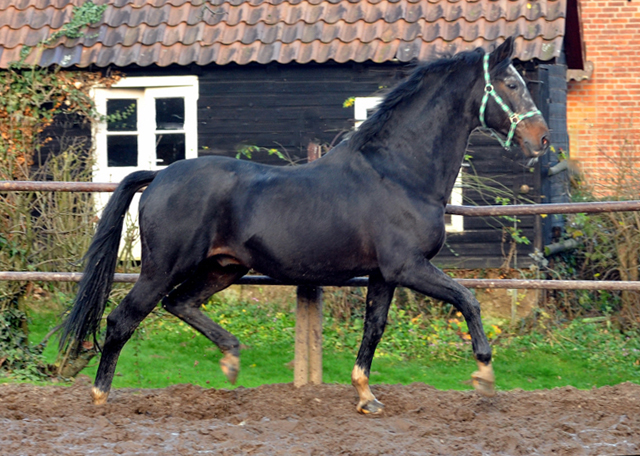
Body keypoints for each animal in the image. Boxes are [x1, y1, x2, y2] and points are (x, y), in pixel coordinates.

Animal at [61, 35, 552, 414]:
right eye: (511, 83)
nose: (542, 140)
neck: (398, 173)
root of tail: (158, 176)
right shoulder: (408, 267)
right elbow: (468, 299)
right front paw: (484, 374)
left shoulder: (383, 275)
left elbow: (375, 328)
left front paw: (366, 396)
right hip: (163, 267)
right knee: (123, 318)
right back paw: (101, 395)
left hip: (224, 267)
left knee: (180, 304)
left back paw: (232, 359)